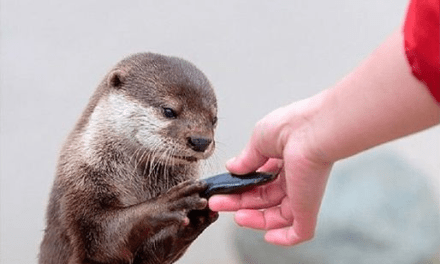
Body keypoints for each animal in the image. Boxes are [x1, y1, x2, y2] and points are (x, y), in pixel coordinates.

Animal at [39, 52, 220, 262]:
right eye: (169, 111)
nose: (201, 141)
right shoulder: (78, 188)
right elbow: (102, 240)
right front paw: (170, 202)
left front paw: (197, 217)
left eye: (214, 119)